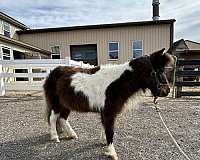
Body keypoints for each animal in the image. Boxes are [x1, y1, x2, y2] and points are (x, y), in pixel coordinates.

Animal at [43, 48, 173, 160]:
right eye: (157, 71)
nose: (166, 91)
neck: (117, 83)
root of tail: (52, 73)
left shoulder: (105, 111)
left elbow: (104, 126)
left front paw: (103, 142)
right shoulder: (108, 111)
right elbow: (110, 131)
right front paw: (112, 153)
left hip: (66, 104)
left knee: (63, 118)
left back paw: (72, 135)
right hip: (56, 103)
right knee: (53, 118)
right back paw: (55, 137)